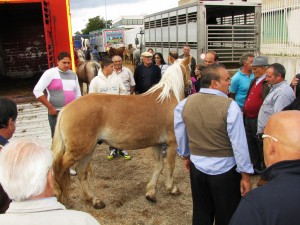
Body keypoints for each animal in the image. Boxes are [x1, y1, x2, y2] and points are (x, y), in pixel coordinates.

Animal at [51, 56, 191, 209]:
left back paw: (94, 200)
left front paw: (151, 193)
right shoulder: (172, 143)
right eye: (190, 69)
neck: (167, 97)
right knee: (58, 168)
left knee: (81, 172)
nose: (190, 85)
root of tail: (66, 109)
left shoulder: (157, 144)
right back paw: (57, 195)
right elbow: (170, 166)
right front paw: (172, 188)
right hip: (78, 150)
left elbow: (159, 167)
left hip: (87, 150)